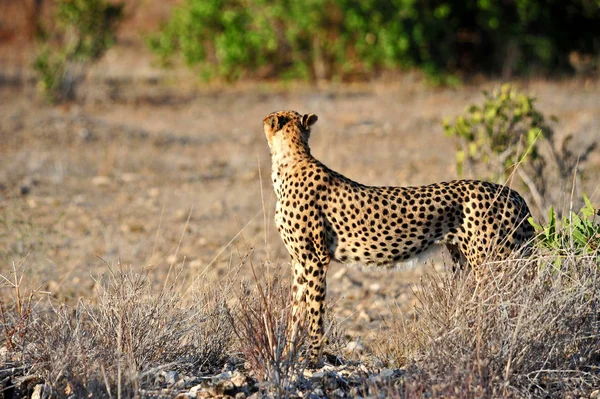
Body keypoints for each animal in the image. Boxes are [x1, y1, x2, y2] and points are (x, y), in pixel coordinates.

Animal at [262, 111, 536, 364]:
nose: (264, 120)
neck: (291, 160)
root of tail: (514, 194)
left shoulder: (315, 260)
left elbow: (314, 313)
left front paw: (313, 361)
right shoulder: (300, 262)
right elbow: (296, 312)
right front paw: (286, 358)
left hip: (494, 263)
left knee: (514, 302)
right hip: (465, 261)